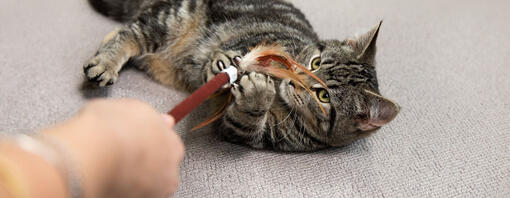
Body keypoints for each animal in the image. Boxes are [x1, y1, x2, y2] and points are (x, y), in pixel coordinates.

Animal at [84, 0, 402, 152]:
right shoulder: (251, 45)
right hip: (172, 19)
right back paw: (105, 63)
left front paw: (257, 95)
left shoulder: (250, 132)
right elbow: (230, 61)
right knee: (130, 33)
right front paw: (225, 65)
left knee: (128, 31)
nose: (294, 79)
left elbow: (245, 118)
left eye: (323, 96)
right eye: (315, 63)